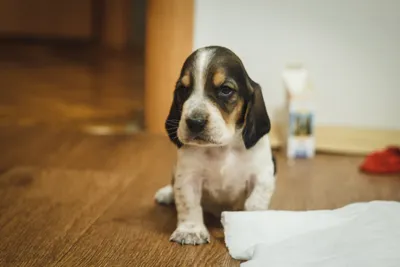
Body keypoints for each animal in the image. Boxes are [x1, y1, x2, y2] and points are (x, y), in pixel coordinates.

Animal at [155, 45, 276, 246]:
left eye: (225, 90)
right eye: (183, 89)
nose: (194, 122)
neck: (222, 148)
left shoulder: (263, 175)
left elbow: (254, 203)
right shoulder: (188, 176)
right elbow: (189, 203)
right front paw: (190, 231)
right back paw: (167, 193)